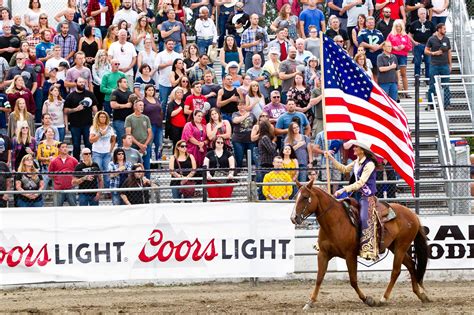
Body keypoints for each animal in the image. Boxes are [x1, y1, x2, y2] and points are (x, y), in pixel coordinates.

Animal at [288, 180, 430, 312]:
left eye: (305, 197)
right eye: (296, 197)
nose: (294, 218)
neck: (335, 221)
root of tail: (412, 214)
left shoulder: (350, 255)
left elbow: (353, 280)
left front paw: (368, 299)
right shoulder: (323, 254)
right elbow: (319, 278)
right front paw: (310, 302)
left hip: (401, 245)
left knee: (396, 271)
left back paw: (383, 299)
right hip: (395, 247)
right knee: (411, 264)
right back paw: (421, 295)